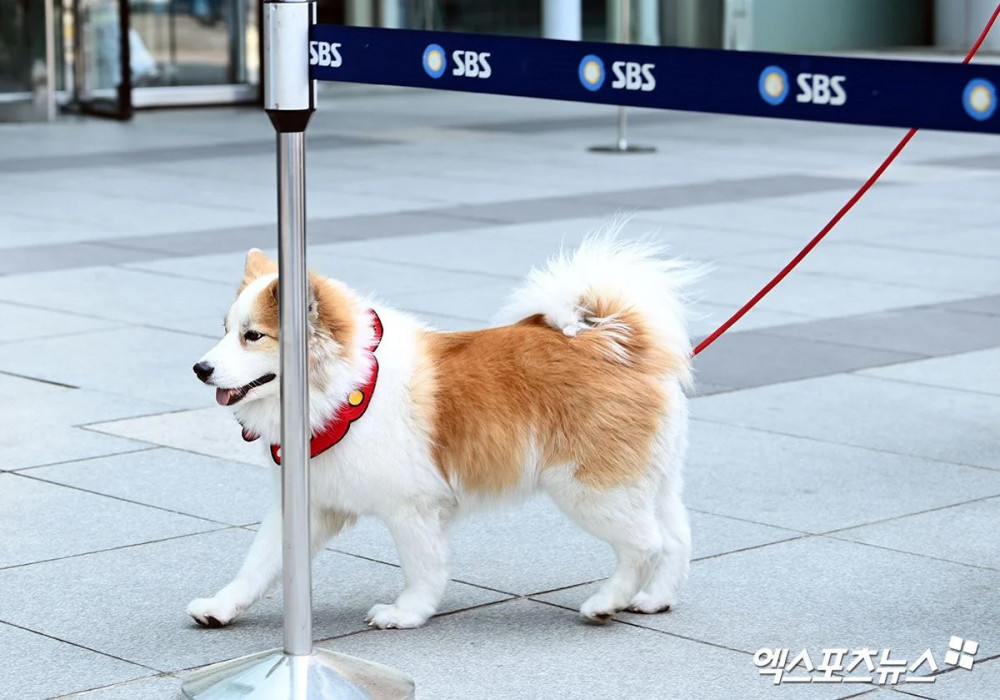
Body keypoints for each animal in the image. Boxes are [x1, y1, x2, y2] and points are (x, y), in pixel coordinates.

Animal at [188, 234, 696, 628]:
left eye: (253, 336)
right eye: (225, 329)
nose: (200, 368)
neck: (349, 388)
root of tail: (614, 340)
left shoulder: (412, 508)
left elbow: (422, 569)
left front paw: (405, 614)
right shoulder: (310, 504)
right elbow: (260, 564)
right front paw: (220, 607)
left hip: (590, 488)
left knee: (645, 544)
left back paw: (607, 602)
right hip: (647, 482)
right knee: (675, 538)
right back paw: (653, 600)